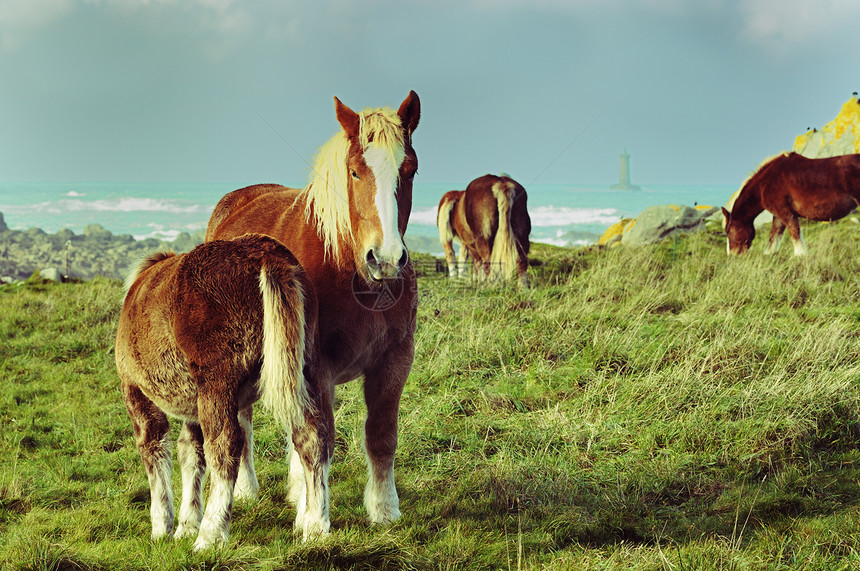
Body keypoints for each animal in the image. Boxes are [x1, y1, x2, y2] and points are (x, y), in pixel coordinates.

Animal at [116, 235, 328, 552]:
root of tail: (266, 257)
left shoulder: (135, 392)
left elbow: (155, 450)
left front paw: (162, 528)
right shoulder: (192, 405)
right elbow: (191, 454)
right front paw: (186, 525)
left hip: (217, 383)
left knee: (225, 445)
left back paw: (210, 535)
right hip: (304, 368)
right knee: (311, 436)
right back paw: (315, 528)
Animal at [205, 90, 420, 532]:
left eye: (410, 171)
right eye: (355, 172)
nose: (386, 259)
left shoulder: (394, 359)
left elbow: (381, 435)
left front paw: (384, 511)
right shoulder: (313, 365)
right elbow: (317, 440)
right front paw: (316, 523)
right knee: (246, 420)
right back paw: (249, 489)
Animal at [724, 154, 860, 256]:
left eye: (728, 231)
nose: (732, 255)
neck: (765, 184)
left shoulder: (785, 212)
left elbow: (794, 232)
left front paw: (800, 255)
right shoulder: (778, 215)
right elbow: (774, 235)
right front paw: (769, 254)